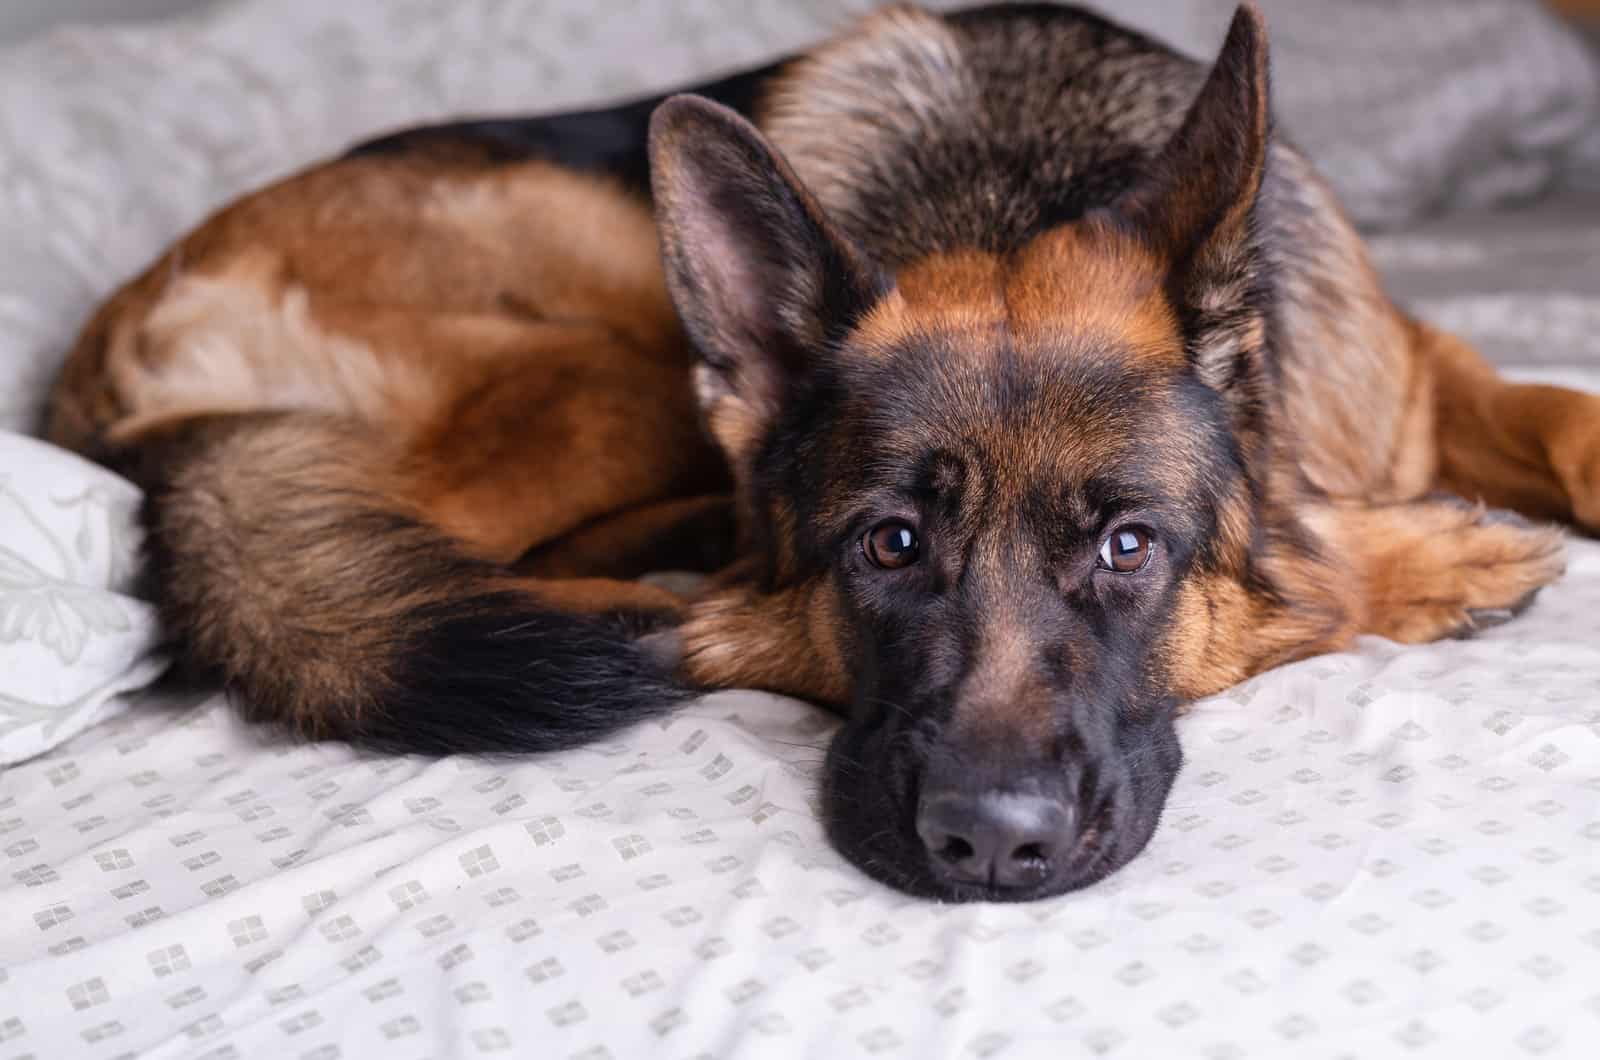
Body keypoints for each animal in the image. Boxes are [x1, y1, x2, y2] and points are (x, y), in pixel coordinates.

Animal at [43, 2, 1593, 903]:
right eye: (889, 544)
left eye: (1127, 547)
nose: (988, 847)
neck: (1006, 178)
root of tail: (110, 343)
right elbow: (1326, 572)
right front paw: (1425, 558)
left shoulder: (1426, 372)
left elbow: (1560, 418)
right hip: (608, 360)